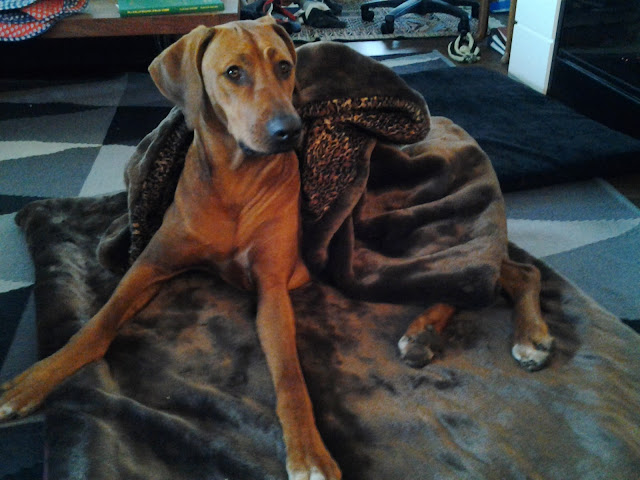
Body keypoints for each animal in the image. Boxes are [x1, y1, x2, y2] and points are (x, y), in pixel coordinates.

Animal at [0, 17, 341, 480]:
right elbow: (97, 324)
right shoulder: (151, 264)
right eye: (234, 72)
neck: (235, 182)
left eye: (285, 67)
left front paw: (308, 450)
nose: (290, 131)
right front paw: (36, 378)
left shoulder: (272, 286)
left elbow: (288, 372)